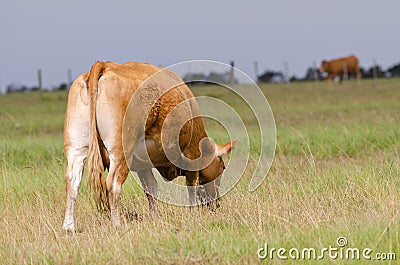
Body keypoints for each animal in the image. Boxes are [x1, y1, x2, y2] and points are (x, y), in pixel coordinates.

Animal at [62, 60, 238, 229]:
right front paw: (192, 214)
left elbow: (151, 188)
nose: (216, 204)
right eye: (222, 167)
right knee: (113, 184)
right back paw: (117, 224)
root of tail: (105, 65)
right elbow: (191, 187)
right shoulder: (192, 154)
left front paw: (154, 217)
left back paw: (69, 227)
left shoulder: (142, 165)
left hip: (76, 148)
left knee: (72, 181)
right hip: (121, 152)